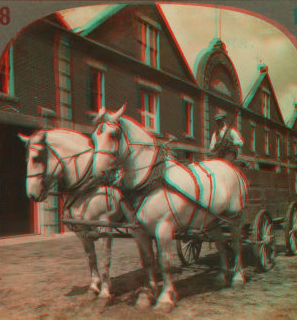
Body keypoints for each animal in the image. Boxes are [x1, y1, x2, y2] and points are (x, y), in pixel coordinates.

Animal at [18, 129, 123, 298]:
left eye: (36, 158)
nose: (32, 195)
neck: (91, 187)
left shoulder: (105, 227)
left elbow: (106, 258)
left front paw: (106, 290)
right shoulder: (82, 229)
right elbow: (91, 257)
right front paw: (94, 286)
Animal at [91, 105, 249, 312]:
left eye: (114, 134)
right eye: (93, 136)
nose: (97, 173)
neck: (150, 178)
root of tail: (231, 167)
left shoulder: (164, 227)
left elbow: (165, 261)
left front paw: (165, 298)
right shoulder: (139, 231)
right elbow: (148, 261)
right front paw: (148, 294)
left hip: (235, 217)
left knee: (237, 244)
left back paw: (238, 277)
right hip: (212, 220)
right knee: (222, 244)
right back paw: (222, 277)